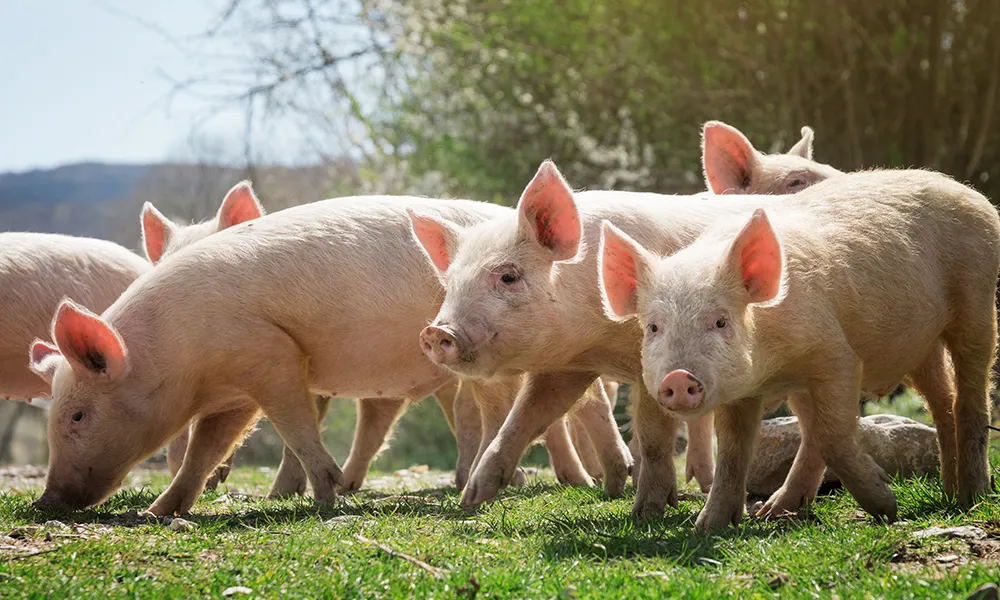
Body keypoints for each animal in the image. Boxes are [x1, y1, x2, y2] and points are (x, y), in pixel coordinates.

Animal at [29, 192, 623, 515]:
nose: (46, 501)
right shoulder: (232, 393)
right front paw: (159, 513)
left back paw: (590, 484)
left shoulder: (268, 352)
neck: (183, 352)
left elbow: (293, 425)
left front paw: (326, 497)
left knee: (583, 401)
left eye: (77, 415)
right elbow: (205, 449)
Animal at [599, 169, 1000, 530]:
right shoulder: (741, 391)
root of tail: (971, 195)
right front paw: (708, 527)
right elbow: (732, 453)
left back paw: (972, 497)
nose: (679, 378)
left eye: (720, 321)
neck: (773, 364)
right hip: (921, 346)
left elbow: (833, 435)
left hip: (977, 301)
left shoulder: (835, 356)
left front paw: (887, 508)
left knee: (970, 397)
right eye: (653, 327)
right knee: (942, 405)